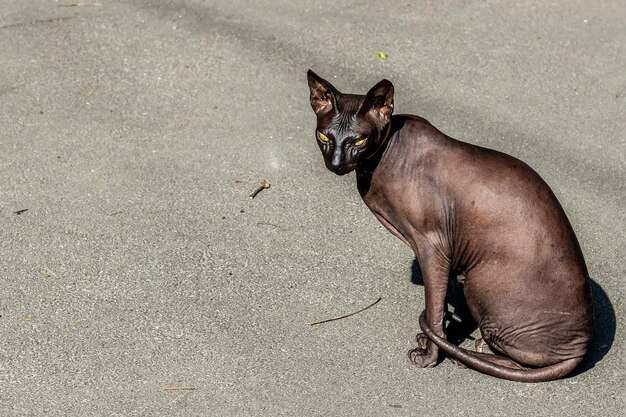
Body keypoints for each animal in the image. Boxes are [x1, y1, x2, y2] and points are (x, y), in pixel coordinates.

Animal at [306, 69, 588, 380]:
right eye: (324, 136)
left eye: (358, 142)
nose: (335, 164)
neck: (386, 157)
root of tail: (580, 347)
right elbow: (439, 309)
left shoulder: (433, 246)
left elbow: (433, 310)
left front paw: (429, 357)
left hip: (480, 280)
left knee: (523, 362)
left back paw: (470, 355)